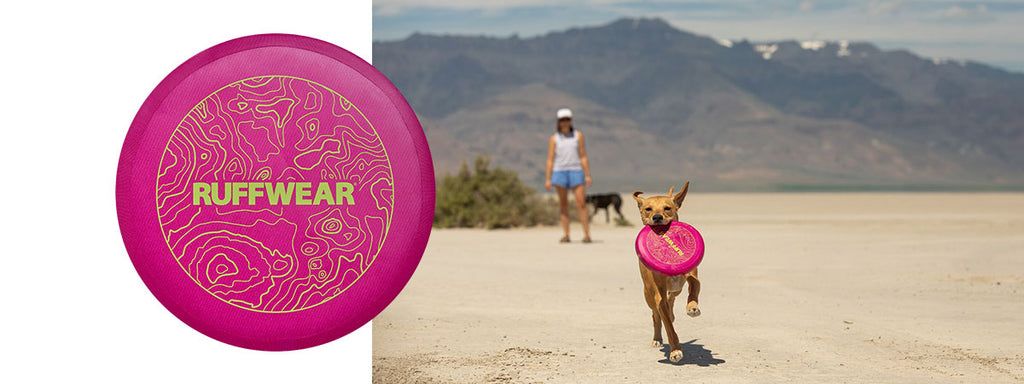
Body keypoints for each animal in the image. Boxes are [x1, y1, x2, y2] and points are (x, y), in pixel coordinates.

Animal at [626, 182, 700, 364]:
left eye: (667, 208)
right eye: (648, 209)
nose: (657, 217)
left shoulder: (692, 275)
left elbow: (694, 286)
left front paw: (692, 307)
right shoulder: (658, 293)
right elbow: (667, 324)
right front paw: (675, 351)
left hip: (676, 288)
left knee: (672, 298)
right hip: (648, 295)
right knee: (656, 315)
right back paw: (657, 338)